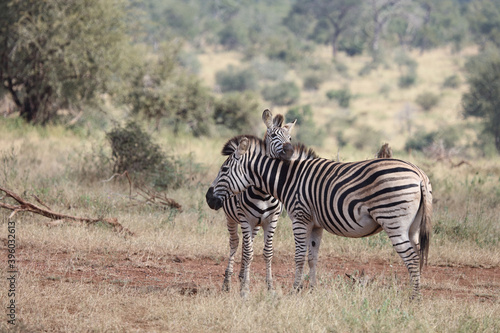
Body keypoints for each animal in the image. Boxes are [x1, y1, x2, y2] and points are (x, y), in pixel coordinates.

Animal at [205, 136, 432, 296]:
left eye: (224, 169)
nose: (208, 198)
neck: (289, 179)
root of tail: (419, 174)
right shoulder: (316, 224)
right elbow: (313, 257)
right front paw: (312, 290)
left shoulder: (300, 218)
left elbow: (299, 257)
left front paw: (294, 290)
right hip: (413, 227)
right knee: (418, 254)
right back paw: (416, 293)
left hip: (394, 222)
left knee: (412, 258)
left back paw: (414, 298)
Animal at [211, 109, 300, 296]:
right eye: (273, 135)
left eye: (290, 138)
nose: (289, 151)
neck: (263, 192)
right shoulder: (245, 218)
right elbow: (247, 252)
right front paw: (245, 288)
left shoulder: (271, 220)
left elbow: (267, 252)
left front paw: (269, 287)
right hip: (232, 218)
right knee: (236, 243)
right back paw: (227, 282)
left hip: (257, 224)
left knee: (247, 243)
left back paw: (241, 275)